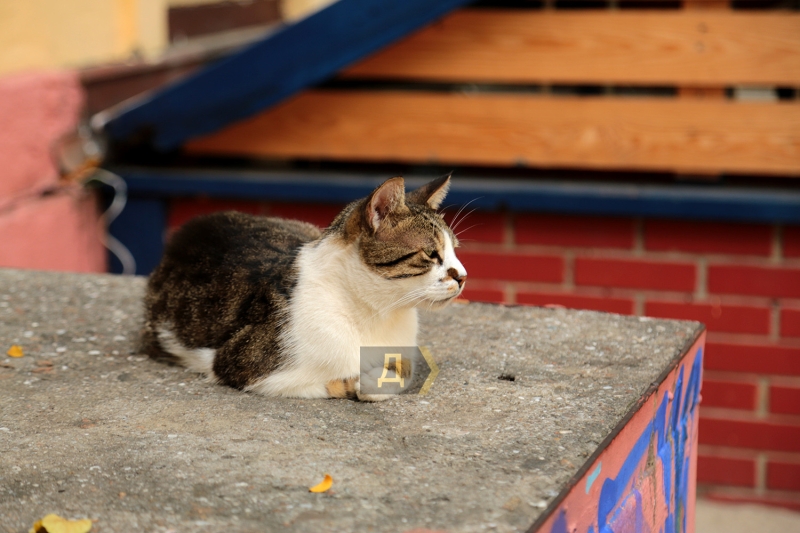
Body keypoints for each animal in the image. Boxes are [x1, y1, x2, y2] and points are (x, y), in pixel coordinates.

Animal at [142, 175, 468, 400]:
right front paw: (363, 381)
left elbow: (405, 370)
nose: (463, 276)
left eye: (455, 250)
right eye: (431, 254)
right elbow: (338, 382)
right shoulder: (245, 365)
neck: (377, 313)